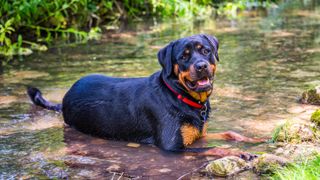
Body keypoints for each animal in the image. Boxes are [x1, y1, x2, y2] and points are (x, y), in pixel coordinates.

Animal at [27, 33, 264, 160]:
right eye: (183, 56)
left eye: (205, 50)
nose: (201, 66)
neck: (178, 95)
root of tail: (65, 97)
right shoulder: (172, 146)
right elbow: (214, 147)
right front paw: (239, 153)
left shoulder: (198, 135)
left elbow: (229, 133)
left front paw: (255, 139)